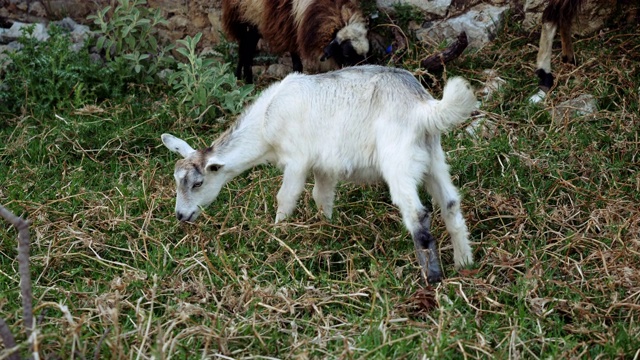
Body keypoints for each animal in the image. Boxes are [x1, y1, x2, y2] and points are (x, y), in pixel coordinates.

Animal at [222, 0, 370, 83]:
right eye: (346, 54)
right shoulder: (288, 28)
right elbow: (297, 63)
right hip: (247, 17)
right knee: (246, 50)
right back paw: (247, 81)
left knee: (244, 48)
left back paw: (238, 78)